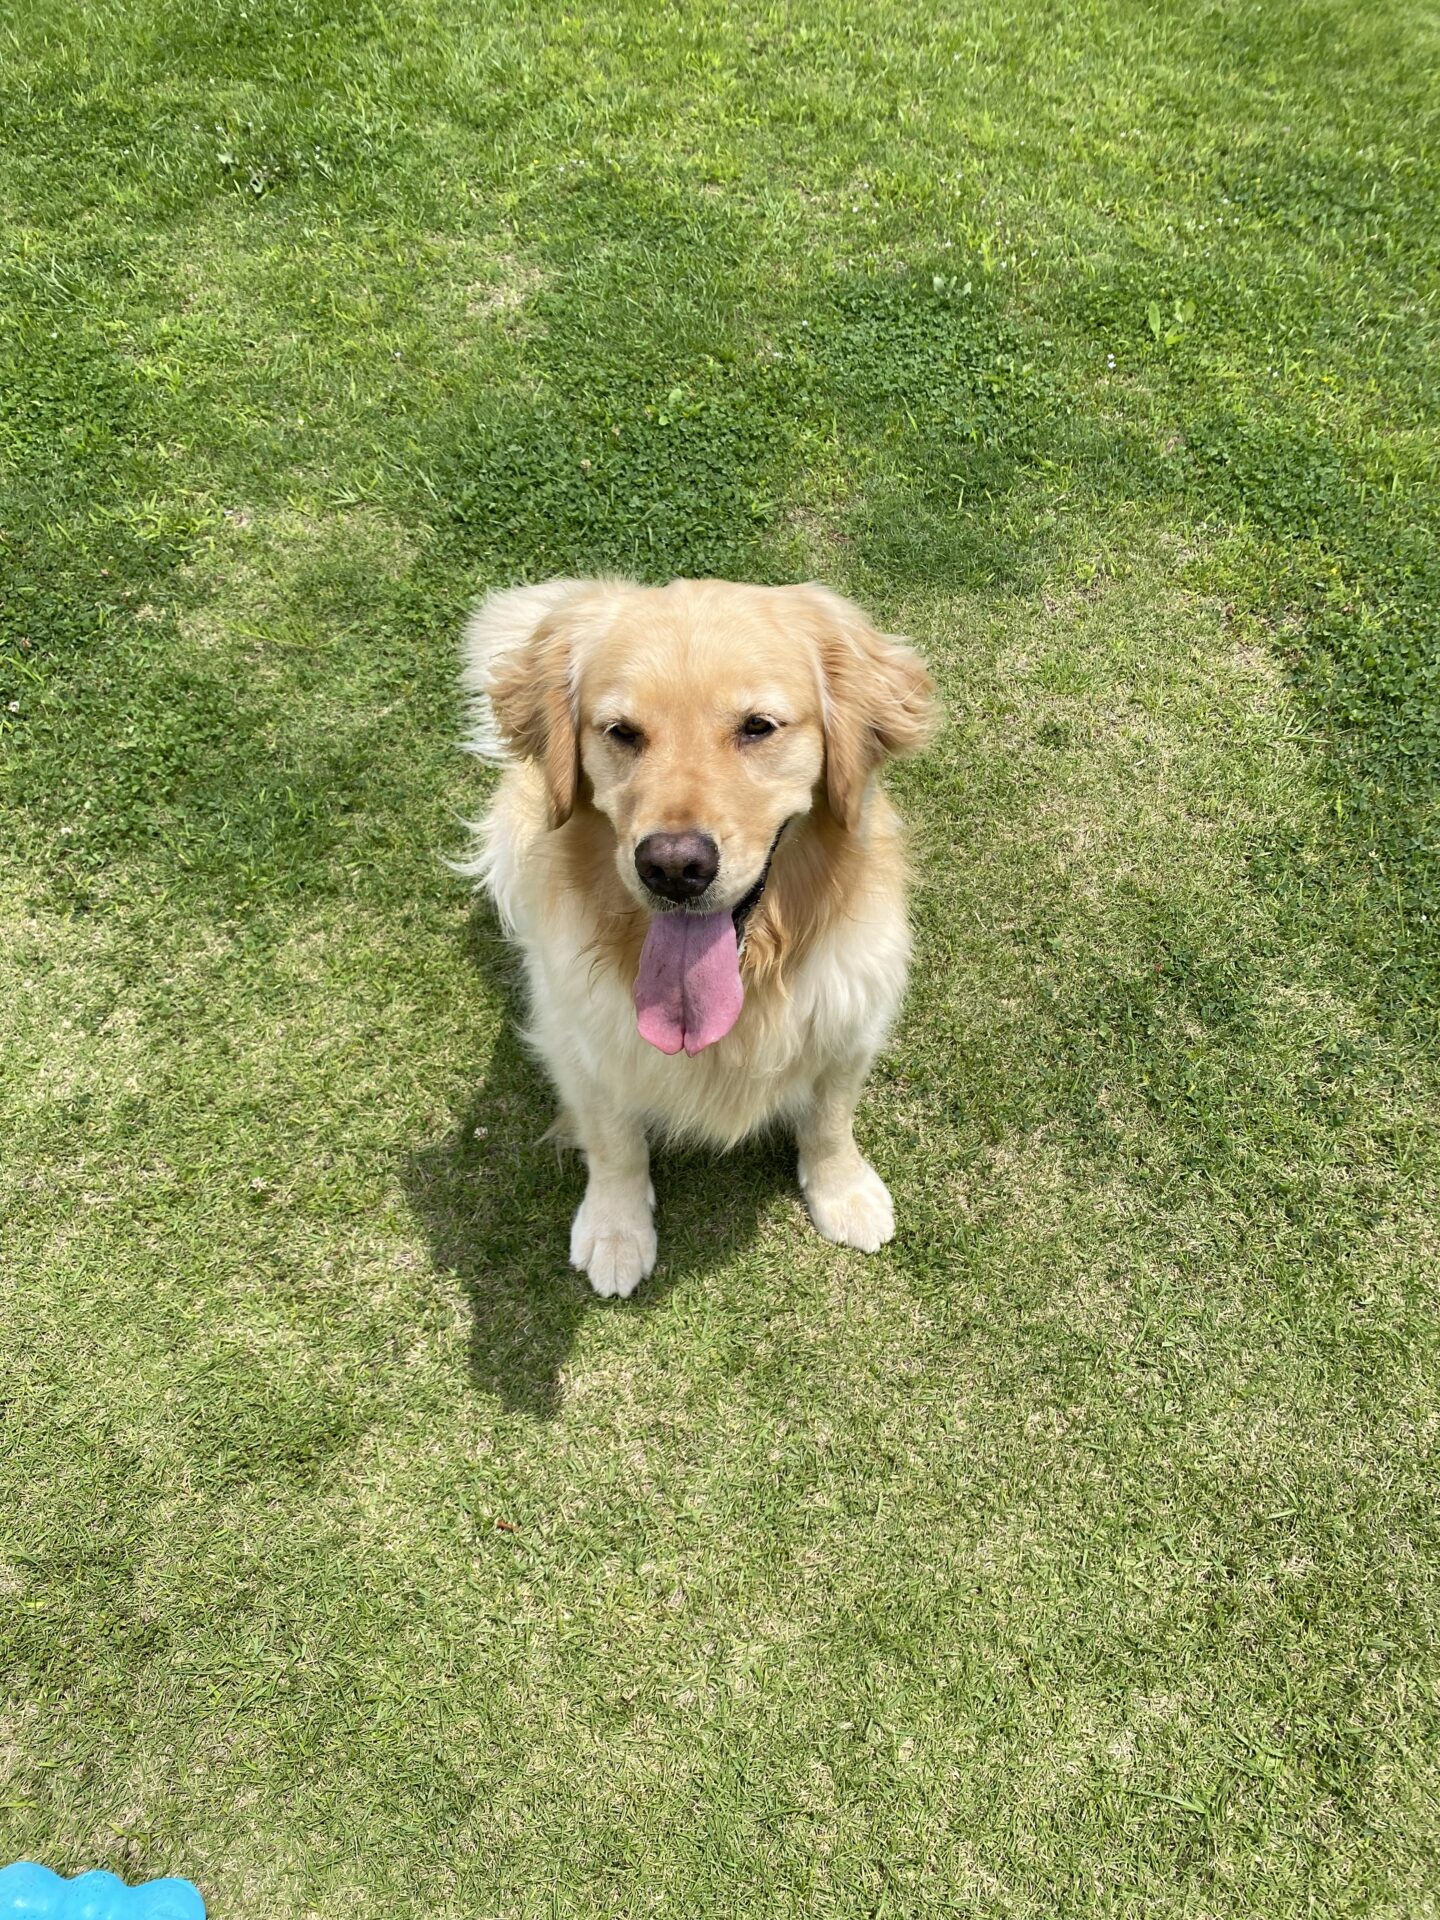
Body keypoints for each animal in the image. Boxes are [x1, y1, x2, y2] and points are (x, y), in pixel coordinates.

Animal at [458, 577, 936, 1297]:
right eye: (622, 733)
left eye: (758, 727)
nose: (673, 866)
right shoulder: (579, 1038)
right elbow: (613, 1140)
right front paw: (616, 1229)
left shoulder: (851, 1016)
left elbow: (831, 1115)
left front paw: (843, 1191)